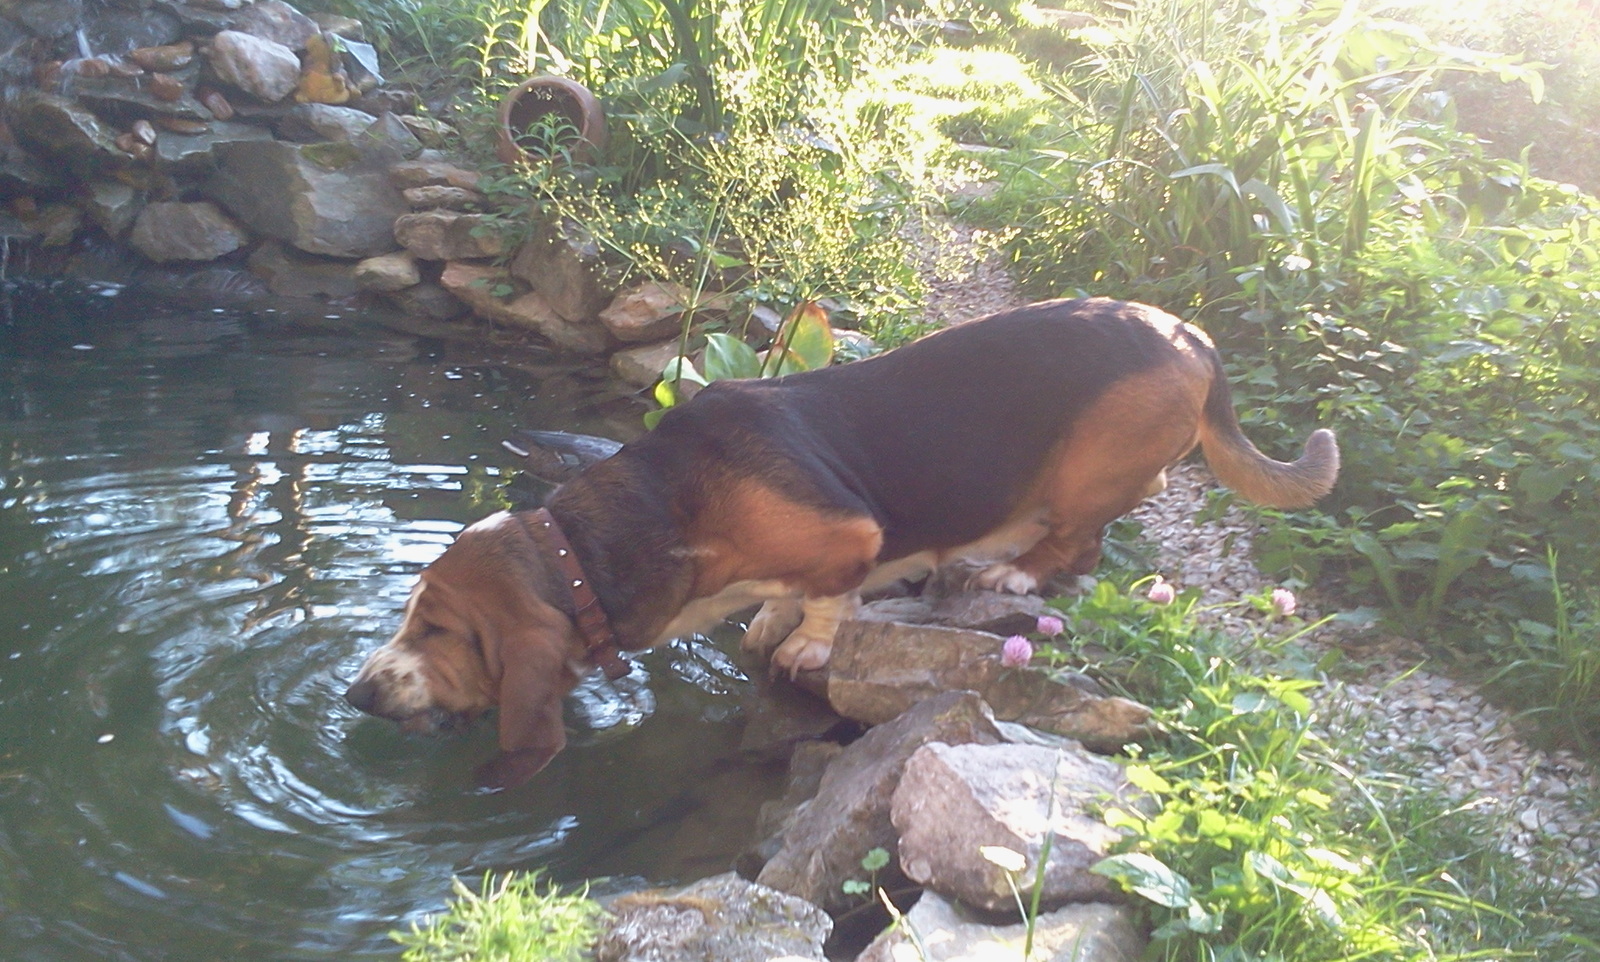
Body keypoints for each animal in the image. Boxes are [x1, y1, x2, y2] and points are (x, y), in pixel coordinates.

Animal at [347, 296, 1337, 784]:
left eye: (437, 631)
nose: (357, 694)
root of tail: (1193, 335)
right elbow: (780, 598)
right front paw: (767, 621)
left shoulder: (848, 537)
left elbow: (830, 595)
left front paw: (805, 642)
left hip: (1089, 474)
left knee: (1082, 544)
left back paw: (1013, 573)